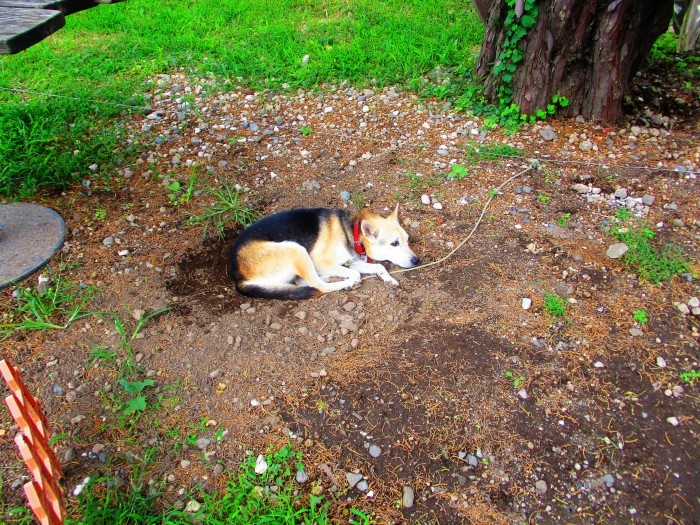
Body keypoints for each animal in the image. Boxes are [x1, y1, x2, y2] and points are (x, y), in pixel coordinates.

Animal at [227, 205, 418, 298]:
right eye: (394, 243)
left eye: (408, 239)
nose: (417, 260)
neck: (352, 230)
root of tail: (238, 276)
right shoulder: (321, 262)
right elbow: (355, 273)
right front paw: (351, 279)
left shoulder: (353, 262)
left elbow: (379, 267)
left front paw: (388, 278)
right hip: (296, 249)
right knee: (318, 285)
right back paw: (344, 282)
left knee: (302, 282)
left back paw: (333, 277)